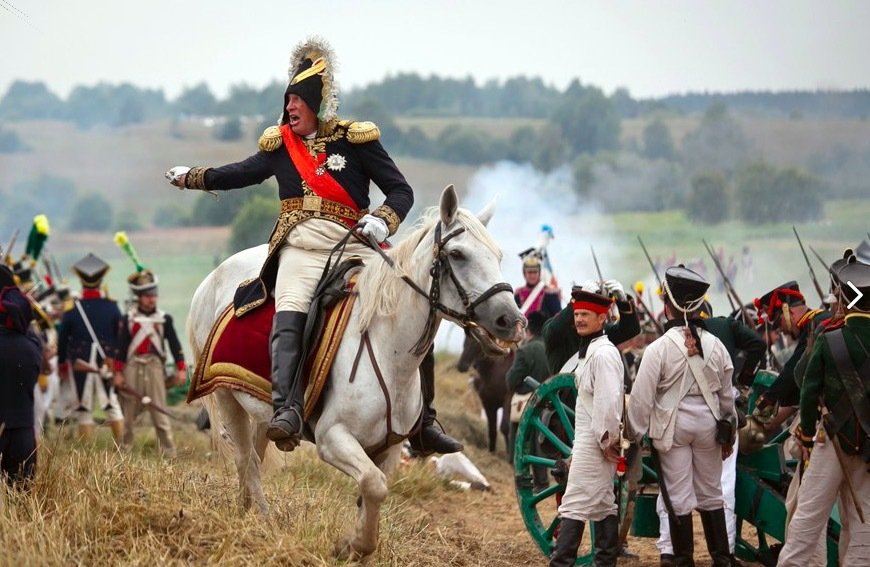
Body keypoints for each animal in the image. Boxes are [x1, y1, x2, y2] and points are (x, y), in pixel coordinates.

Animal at [189, 186, 524, 560]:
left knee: (255, 459)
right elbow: (374, 486)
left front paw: (356, 544)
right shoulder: (333, 438)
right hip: (226, 397)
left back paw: (247, 513)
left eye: (497, 255)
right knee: (245, 461)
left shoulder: (389, 448)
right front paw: (354, 546)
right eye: (458, 254)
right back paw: (262, 520)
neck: (387, 350)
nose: (511, 321)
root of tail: (211, 280)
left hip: (261, 409)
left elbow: (371, 491)